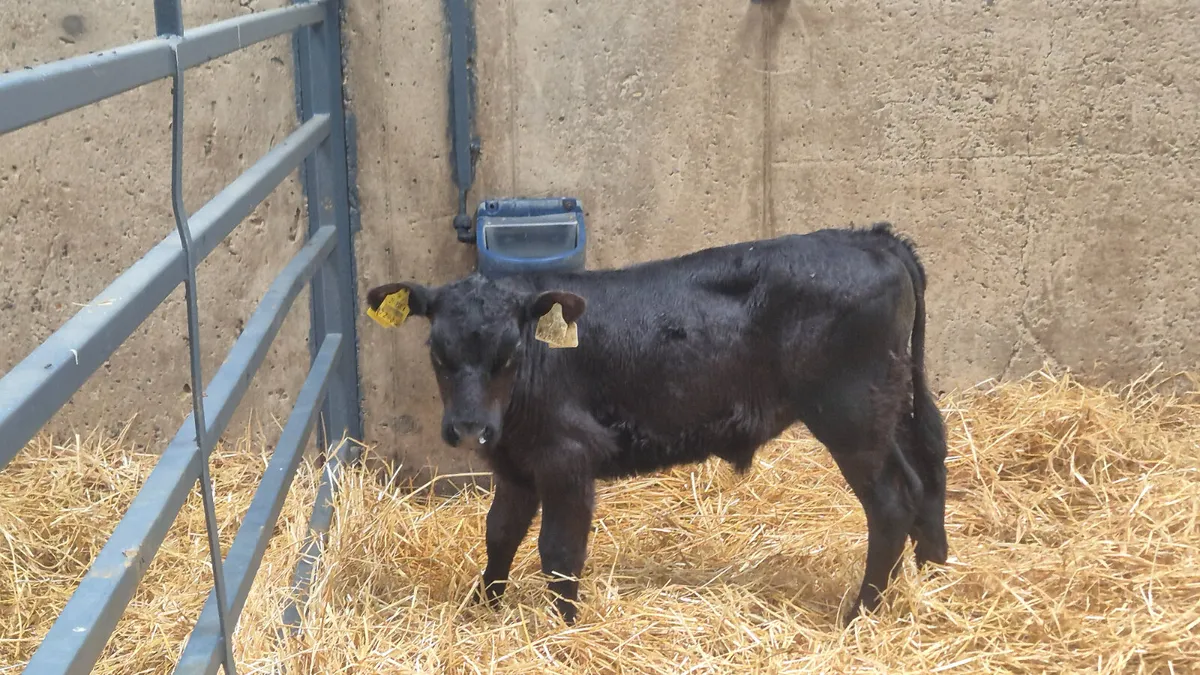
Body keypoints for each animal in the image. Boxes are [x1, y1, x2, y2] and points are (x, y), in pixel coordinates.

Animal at [365, 222, 948, 626]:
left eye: (508, 353)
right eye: (437, 352)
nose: (469, 428)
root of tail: (872, 238)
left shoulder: (567, 456)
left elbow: (558, 552)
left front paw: (564, 630)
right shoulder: (514, 463)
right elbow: (499, 535)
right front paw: (483, 610)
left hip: (852, 414)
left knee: (893, 500)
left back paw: (861, 613)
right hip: (891, 403)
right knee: (929, 467)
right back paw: (934, 576)